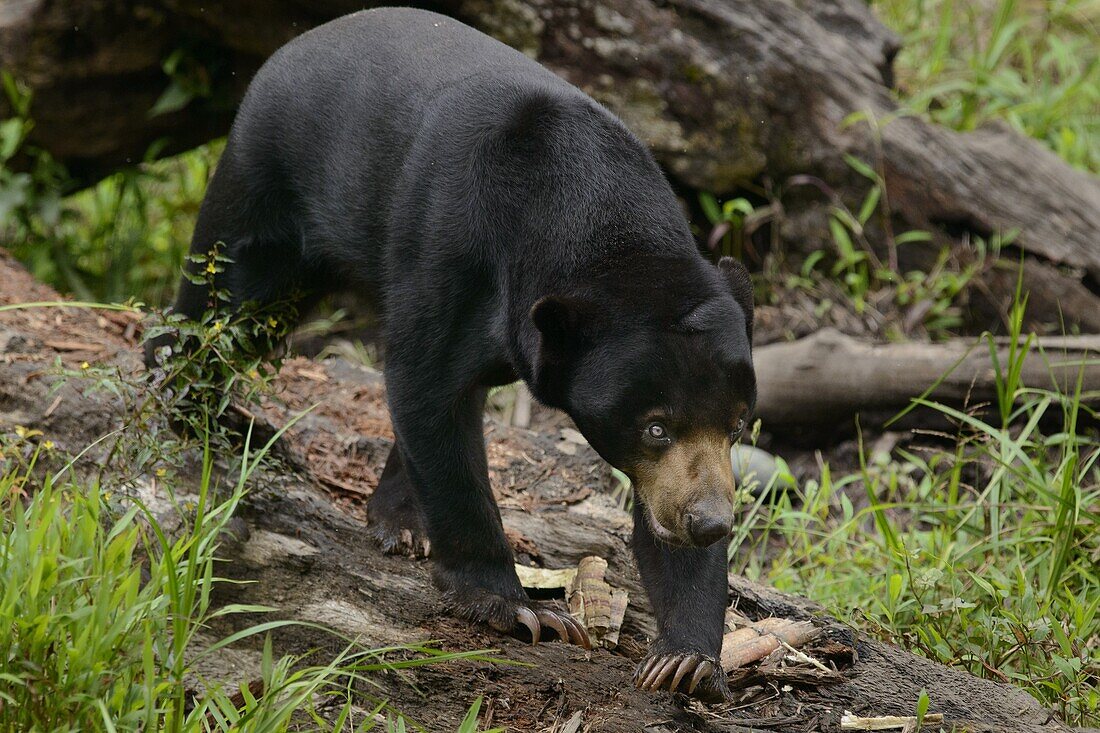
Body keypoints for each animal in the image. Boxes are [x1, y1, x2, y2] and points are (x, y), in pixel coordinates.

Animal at [148, 7, 756, 704]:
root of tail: (297, 43)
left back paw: (400, 519)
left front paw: (684, 659)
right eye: (655, 427)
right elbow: (429, 391)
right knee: (226, 296)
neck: (583, 207)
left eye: (738, 424)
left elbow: (657, 519)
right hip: (268, 174)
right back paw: (190, 402)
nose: (712, 522)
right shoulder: (451, 249)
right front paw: (516, 609)